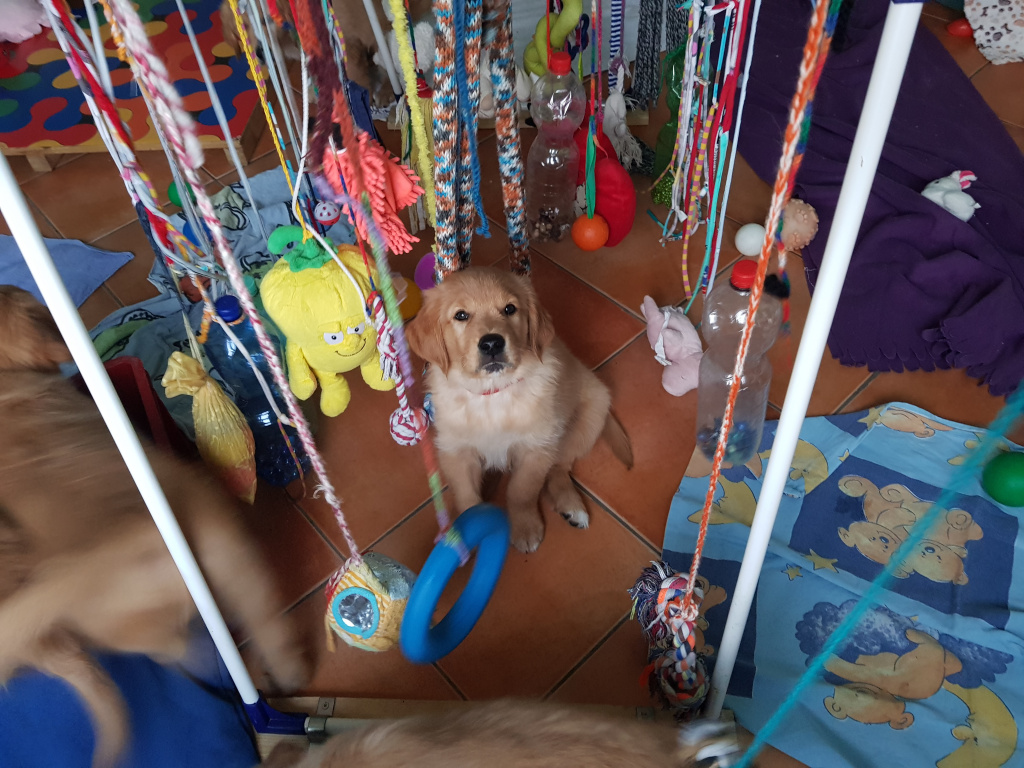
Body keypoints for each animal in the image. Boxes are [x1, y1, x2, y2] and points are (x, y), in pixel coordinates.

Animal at [0, 286, 310, 767]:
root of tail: (104, 556)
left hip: (114, 625)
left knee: (168, 647)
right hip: (225, 546)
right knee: (258, 619)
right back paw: (283, 669)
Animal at [405, 268, 633, 554]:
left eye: (509, 309)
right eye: (461, 315)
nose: (492, 343)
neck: (492, 394)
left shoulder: (535, 448)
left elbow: (521, 491)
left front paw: (526, 528)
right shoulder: (456, 450)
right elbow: (467, 497)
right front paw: (468, 532)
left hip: (587, 421)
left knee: (559, 467)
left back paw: (571, 506)